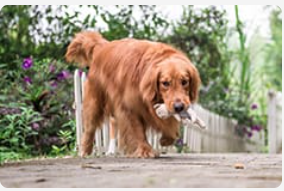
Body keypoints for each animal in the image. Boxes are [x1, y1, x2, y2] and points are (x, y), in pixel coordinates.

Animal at [65, 31, 201, 158]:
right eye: (165, 83)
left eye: (184, 82)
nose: (179, 107)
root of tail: (104, 47)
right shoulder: (128, 107)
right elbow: (136, 129)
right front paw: (145, 150)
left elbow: (168, 125)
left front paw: (166, 139)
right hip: (95, 102)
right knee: (90, 127)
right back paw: (86, 151)